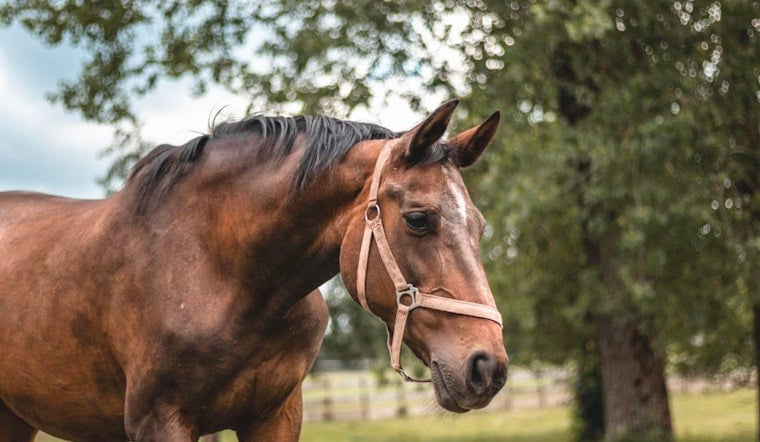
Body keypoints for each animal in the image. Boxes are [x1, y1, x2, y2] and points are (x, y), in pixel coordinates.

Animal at [0, 99, 508, 441]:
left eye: (480, 226)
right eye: (419, 219)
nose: (488, 367)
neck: (222, 272)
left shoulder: (276, 416)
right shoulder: (159, 421)